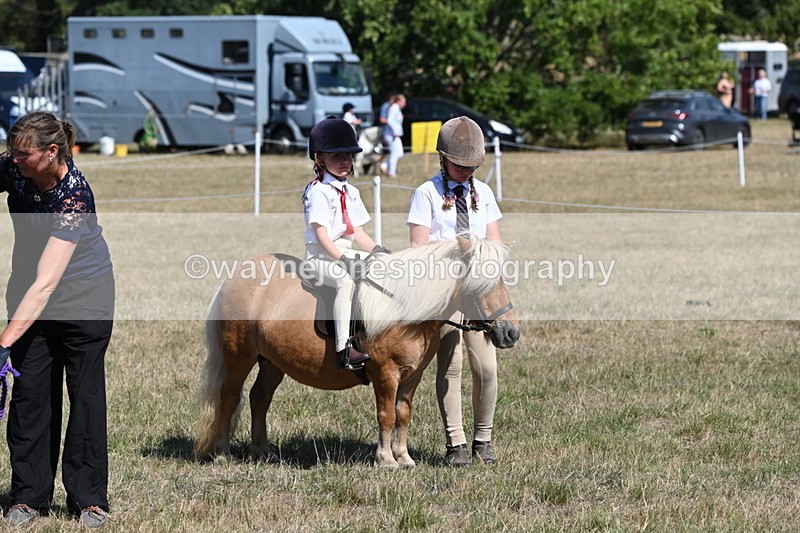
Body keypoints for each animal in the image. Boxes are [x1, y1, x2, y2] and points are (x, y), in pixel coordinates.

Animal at [194, 237, 520, 469]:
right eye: (480, 285)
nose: (511, 333)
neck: (404, 305)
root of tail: (233, 278)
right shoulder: (385, 372)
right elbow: (386, 415)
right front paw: (386, 460)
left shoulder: (412, 376)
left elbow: (403, 414)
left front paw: (404, 458)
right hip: (238, 356)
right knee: (229, 398)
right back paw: (222, 452)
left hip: (272, 362)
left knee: (259, 398)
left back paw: (263, 452)